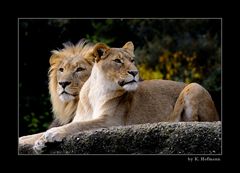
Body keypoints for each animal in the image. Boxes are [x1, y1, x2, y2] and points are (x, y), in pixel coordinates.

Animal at [33, 41, 219, 153]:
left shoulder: (110, 122)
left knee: (194, 122)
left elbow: (77, 126)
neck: (96, 90)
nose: (135, 72)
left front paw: (52, 133)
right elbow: (73, 124)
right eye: (118, 61)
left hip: (194, 86)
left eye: (132, 60)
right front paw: (40, 142)